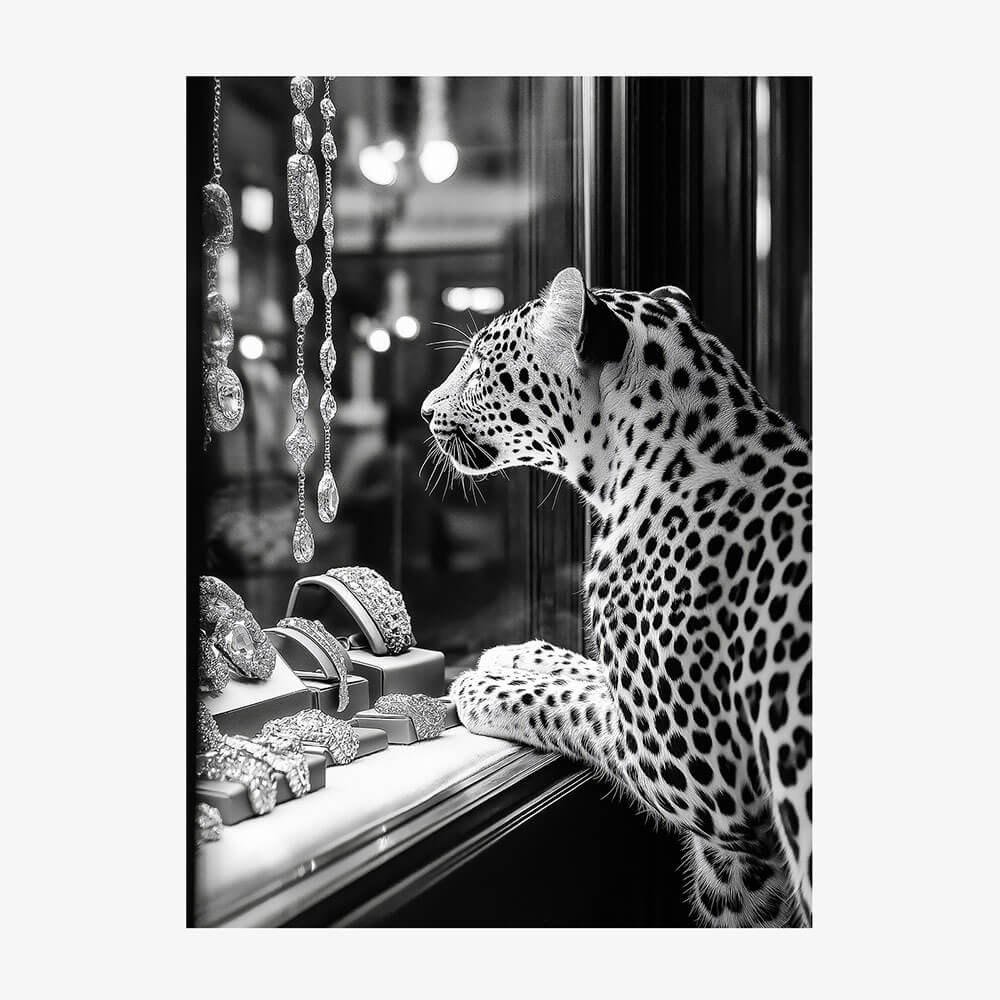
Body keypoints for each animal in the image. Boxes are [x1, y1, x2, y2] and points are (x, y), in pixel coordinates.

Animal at [421, 267, 812, 927]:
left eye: (477, 366)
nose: (424, 411)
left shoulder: (696, 774)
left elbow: (565, 703)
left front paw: (482, 686)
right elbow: (584, 670)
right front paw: (515, 654)